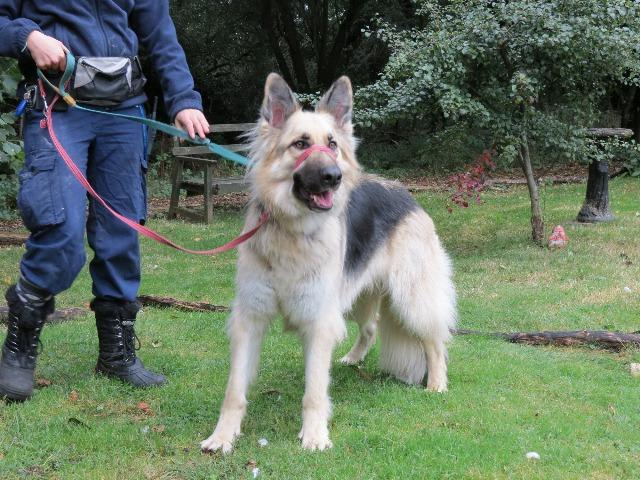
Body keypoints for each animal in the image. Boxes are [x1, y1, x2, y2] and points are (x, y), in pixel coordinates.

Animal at [200, 73, 456, 452]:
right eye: (300, 144)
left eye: (332, 144)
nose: (334, 177)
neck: (293, 233)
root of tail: (405, 193)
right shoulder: (251, 318)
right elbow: (234, 389)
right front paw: (222, 436)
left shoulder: (319, 321)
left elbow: (315, 391)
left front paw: (315, 435)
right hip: (355, 298)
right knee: (371, 327)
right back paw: (353, 358)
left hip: (409, 298)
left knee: (434, 340)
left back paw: (437, 383)